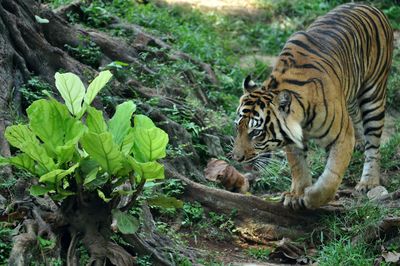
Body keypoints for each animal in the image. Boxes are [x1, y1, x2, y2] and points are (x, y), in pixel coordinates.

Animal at [233, 3, 392, 209]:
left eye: (256, 133)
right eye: (237, 128)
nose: (236, 158)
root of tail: (368, 5)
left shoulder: (342, 136)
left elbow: (331, 178)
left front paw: (310, 197)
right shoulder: (293, 141)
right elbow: (298, 168)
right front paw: (296, 194)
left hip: (374, 94)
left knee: (373, 145)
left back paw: (369, 182)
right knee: (357, 117)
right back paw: (360, 142)